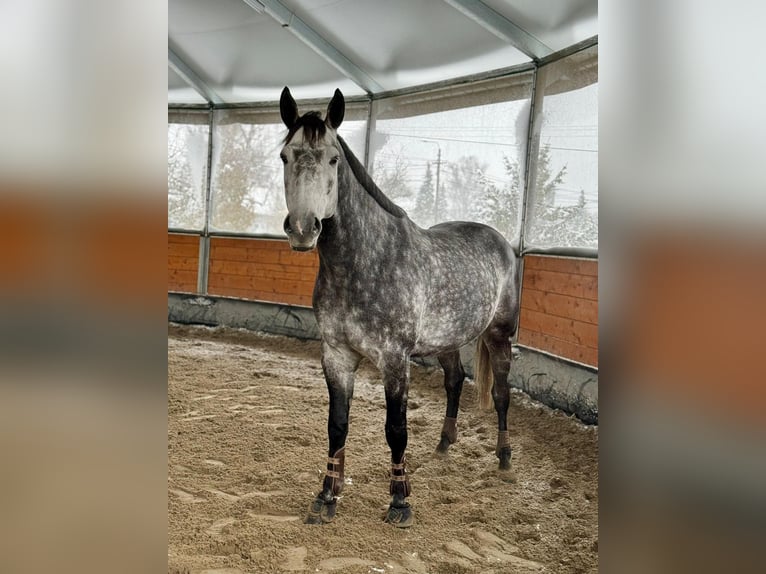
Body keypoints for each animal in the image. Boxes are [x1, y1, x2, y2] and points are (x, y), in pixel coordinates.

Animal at [279, 87, 519, 528]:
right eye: (286, 156)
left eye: (333, 158)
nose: (303, 229)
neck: (366, 260)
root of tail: (500, 242)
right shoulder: (336, 355)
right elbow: (337, 425)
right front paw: (327, 496)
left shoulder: (394, 359)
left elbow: (396, 429)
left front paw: (400, 502)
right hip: (447, 340)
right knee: (455, 381)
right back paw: (444, 444)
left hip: (499, 335)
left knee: (501, 393)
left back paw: (505, 457)